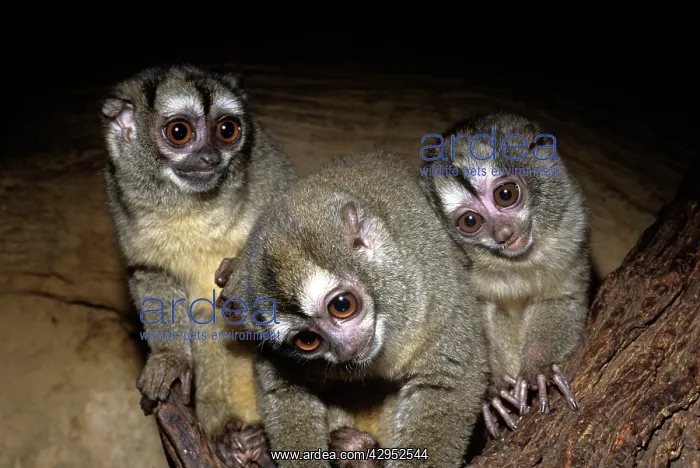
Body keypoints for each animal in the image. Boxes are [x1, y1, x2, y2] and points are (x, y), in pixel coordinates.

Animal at [99, 64, 298, 462]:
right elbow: (151, 274)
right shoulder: (124, 207)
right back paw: (229, 437)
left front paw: (241, 272)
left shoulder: (272, 170)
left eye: (227, 130)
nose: (209, 158)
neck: (193, 209)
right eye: (180, 132)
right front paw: (171, 361)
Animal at [218, 150, 489, 468]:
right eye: (307, 340)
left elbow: (450, 375)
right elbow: (284, 386)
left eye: (342, 306)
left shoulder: (432, 296)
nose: (346, 349)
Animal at [420, 112, 590, 438]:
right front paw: (491, 395)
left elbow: (560, 297)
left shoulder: (570, 225)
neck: (514, 263)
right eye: (470, 221)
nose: (504, 233)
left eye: (506, 194)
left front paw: (538, 371)